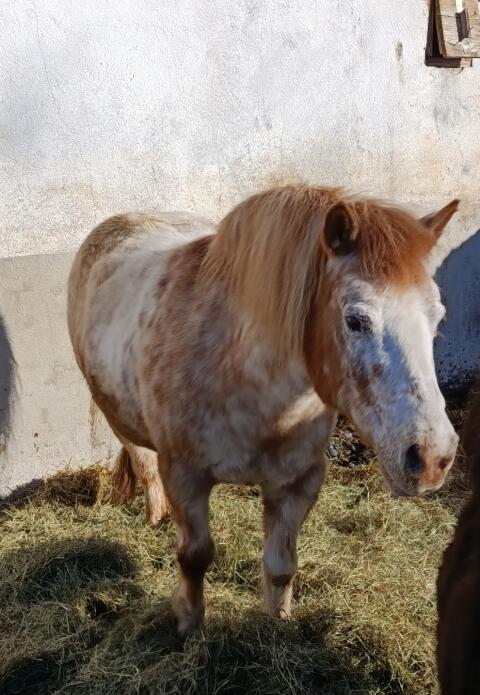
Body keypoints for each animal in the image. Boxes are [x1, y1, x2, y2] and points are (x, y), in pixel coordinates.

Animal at [68, 184, 459, 635]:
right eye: (356, 320)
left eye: (438, 316)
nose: (432, 457)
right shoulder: (185, 476)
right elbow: (194, 557)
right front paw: (189, 626)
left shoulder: (297, 482)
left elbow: (281, 565)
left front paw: (278, 624)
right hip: (120, 419)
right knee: (142, 462)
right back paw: (155, 517)